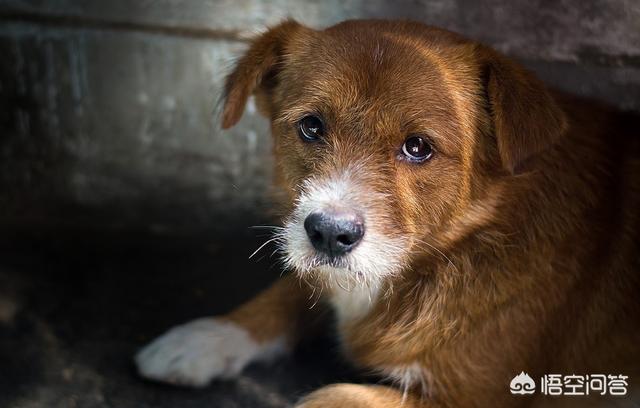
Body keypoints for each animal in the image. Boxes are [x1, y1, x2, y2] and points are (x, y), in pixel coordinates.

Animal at [135, 19, 640, 408]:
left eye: (418, 147)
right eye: (311, 126)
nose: (329, 233)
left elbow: (332, 396)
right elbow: (292, 288)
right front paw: (204, 337)